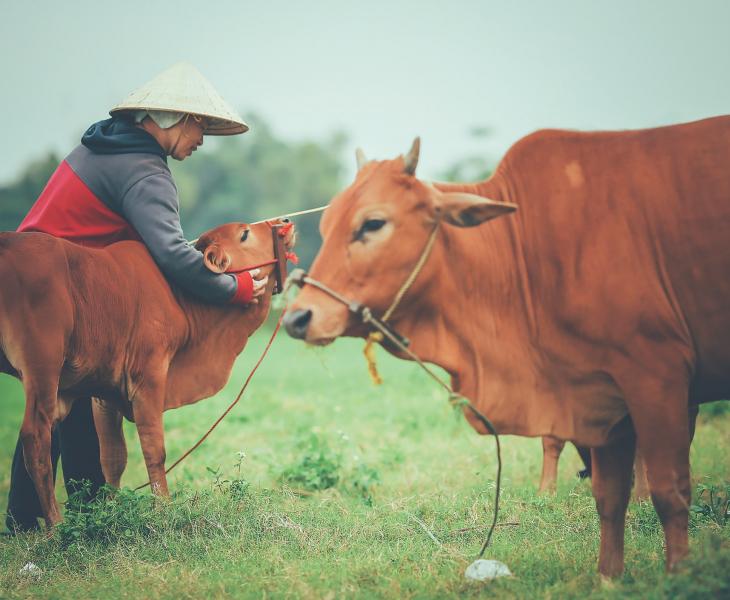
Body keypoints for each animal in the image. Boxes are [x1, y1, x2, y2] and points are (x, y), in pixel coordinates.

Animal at [1, 219, 296, 524]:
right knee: (36, 438)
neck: (183, 302)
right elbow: (155, 449)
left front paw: (112, 509)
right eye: (245, 233)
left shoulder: (104, 392)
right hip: (42, 367)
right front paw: (163, 508)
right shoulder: (148, 378)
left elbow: (113, 456)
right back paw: (54, 525)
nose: (285, 222)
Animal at [282, 115, 728, 576]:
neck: (524, 254)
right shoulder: (598, 396)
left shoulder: (656, 377)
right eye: (325, 227)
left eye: (373, 224)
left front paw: (679, 575)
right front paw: (608, 577)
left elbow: (668, 491)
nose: (297, 318)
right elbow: (608, 496)